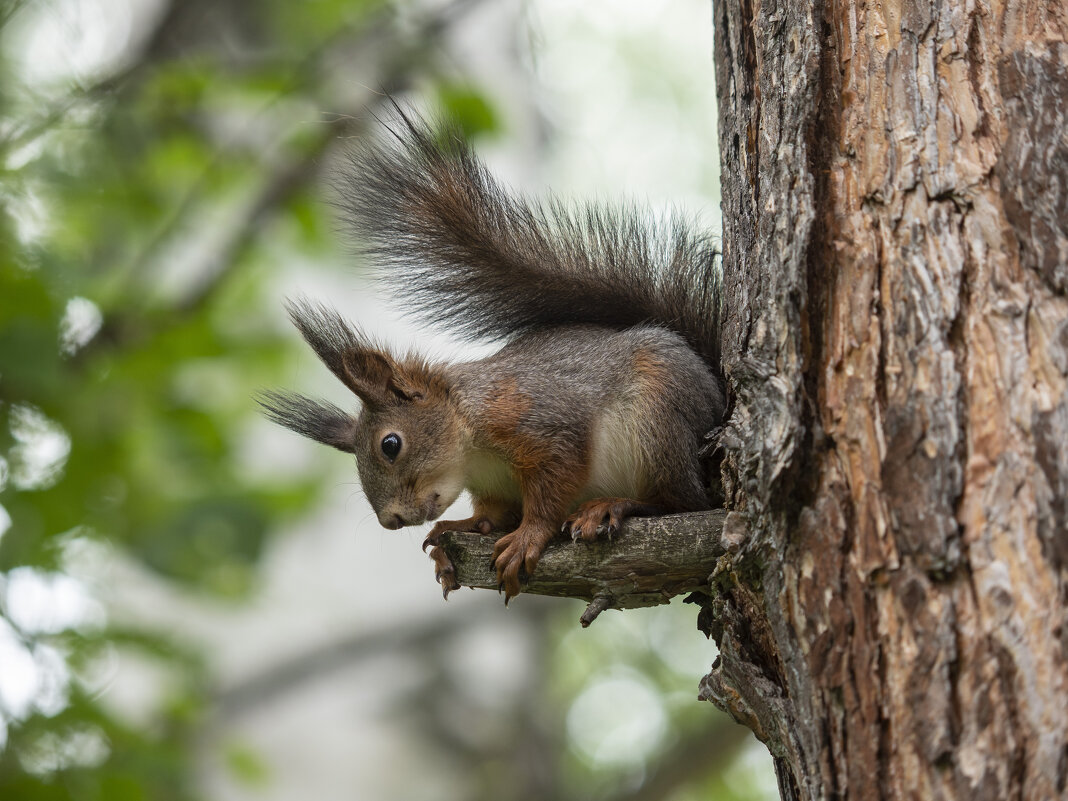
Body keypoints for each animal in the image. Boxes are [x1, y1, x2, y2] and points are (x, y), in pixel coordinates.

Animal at [260, 110, 726, 606]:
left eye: (390, 445)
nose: (391, 521)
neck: (470, 445)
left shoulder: (539, 420)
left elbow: (554, 485)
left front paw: (527, 536)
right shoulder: (494, 486)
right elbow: (492, 515)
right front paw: (459, 528)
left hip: (661, 422)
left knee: (682, 503)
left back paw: (612, 506)